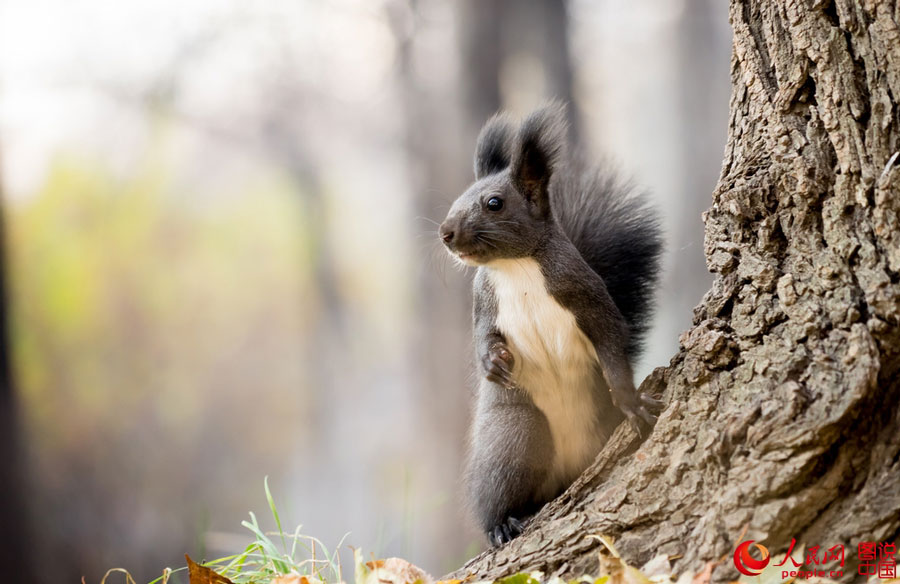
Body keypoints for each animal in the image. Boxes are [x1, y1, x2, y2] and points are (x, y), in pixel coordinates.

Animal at [438, 102, 663, 547]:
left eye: (494, 203)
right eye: (456, 200)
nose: (446, 233)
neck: (514, 268)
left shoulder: (585, 292)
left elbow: (612, 339)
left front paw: (631, 400)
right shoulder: (483, 301)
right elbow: (482, 337)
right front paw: (492, 363)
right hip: (517, 432)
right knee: (496, 499)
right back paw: (500, 523)